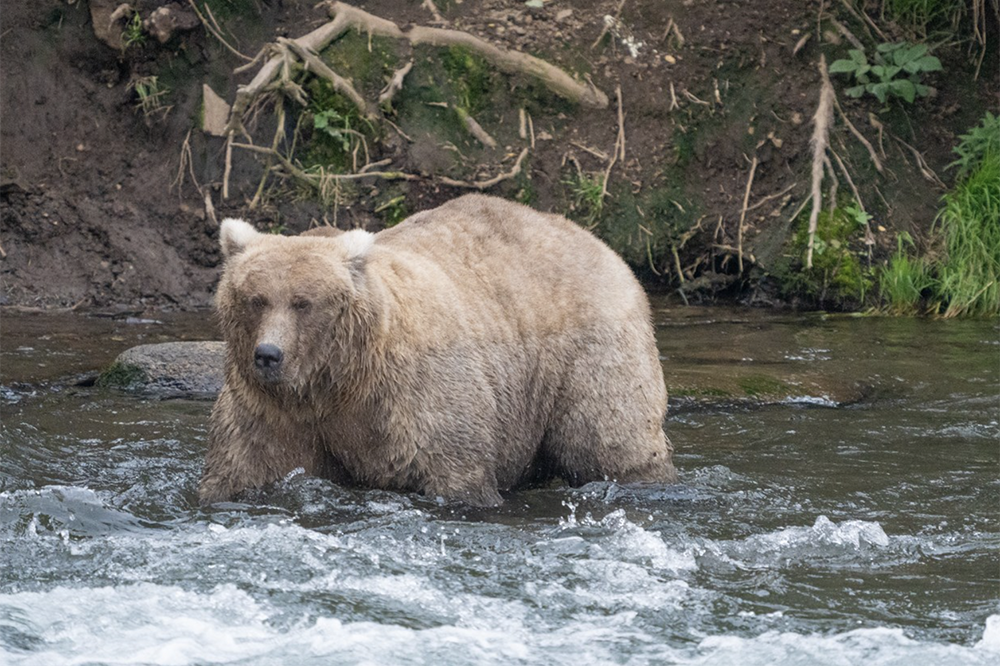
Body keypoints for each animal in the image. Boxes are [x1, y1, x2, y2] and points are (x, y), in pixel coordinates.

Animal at [199, 192, 676, 504]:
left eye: (303, 302)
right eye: (256, 298)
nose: (268, 355)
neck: (338, 382)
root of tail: (597, 242)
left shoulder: (415, 397)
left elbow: (454, 470)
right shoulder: (273, 411)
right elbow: (245, 466)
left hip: (588, 353)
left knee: (609, 439)